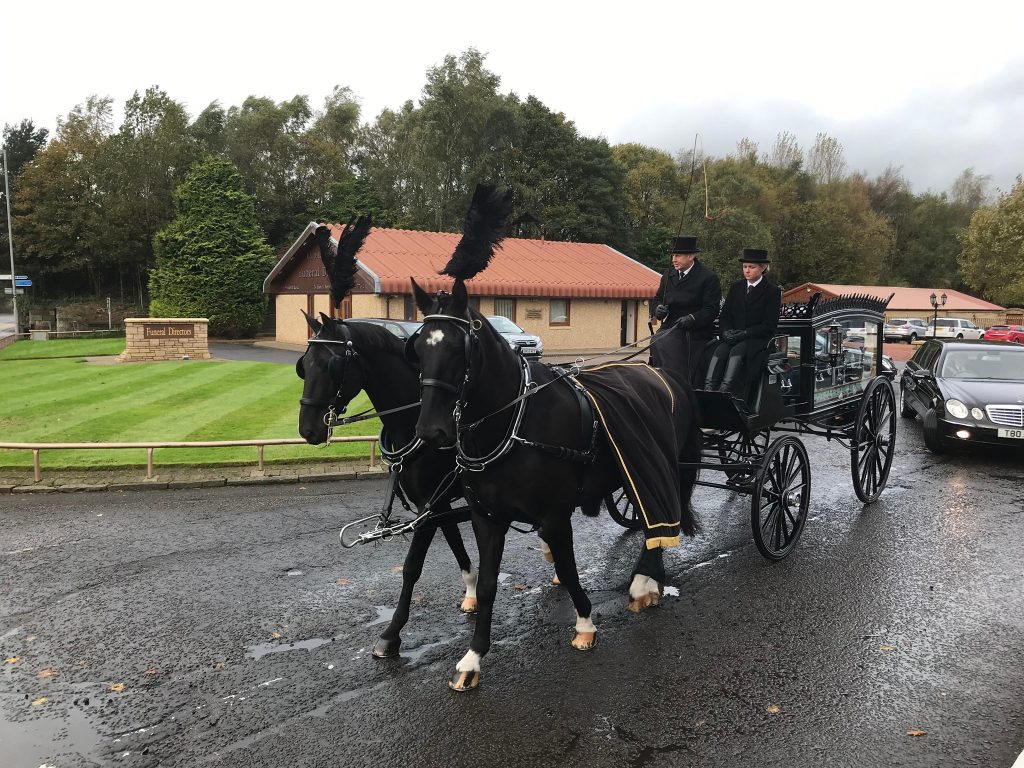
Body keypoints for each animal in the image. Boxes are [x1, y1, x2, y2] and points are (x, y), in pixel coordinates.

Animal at [407, 185, 704, 692]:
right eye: (418, 349)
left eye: (459, 348)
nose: (432, 431)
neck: (514, 425)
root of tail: (665, 374)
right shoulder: (488, 517)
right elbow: (489, 582)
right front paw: (473, 657)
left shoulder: (553, 514)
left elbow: (566, 564)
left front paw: (585, 623)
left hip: (667, 468)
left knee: (662, 518)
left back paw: (645, 582)